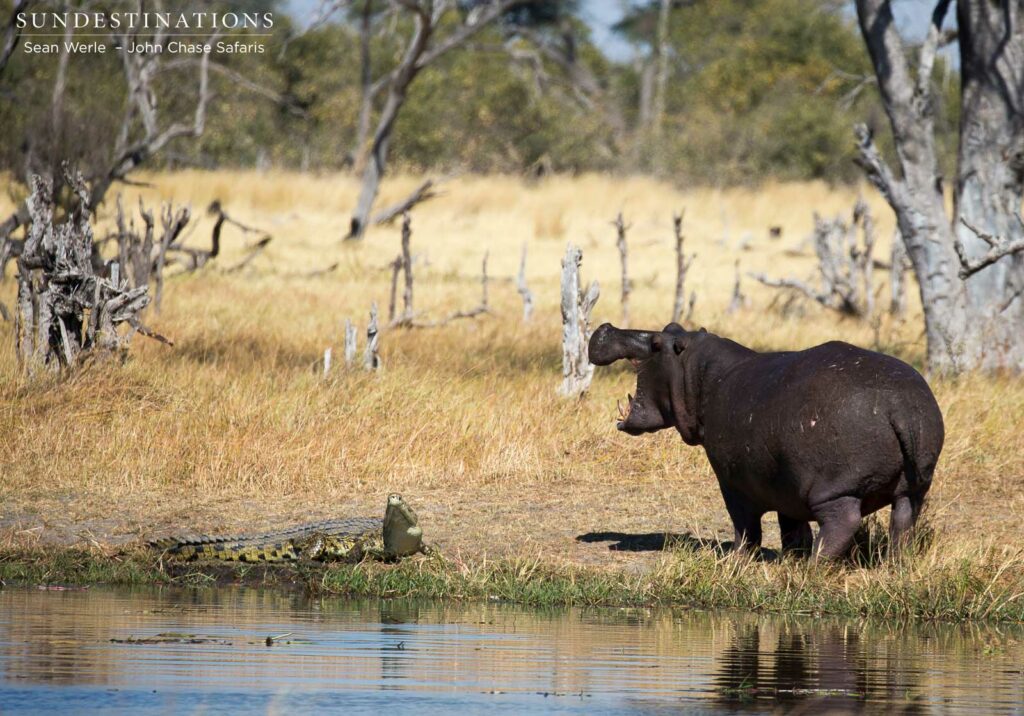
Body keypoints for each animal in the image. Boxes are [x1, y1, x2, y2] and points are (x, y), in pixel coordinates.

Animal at [588, 323, 944, 559]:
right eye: (670, 326)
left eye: (657, 341)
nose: (605, 327)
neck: (700, 372)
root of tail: (900, 405)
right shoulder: (785, 483)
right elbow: (791, 526)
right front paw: (792, 557)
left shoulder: (732, 481)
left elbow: (745, 525)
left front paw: (733, 559)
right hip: (912, 488)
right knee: (904, 522)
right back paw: (895, 564)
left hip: (835, 489)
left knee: (843, 522)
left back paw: (816, 565)